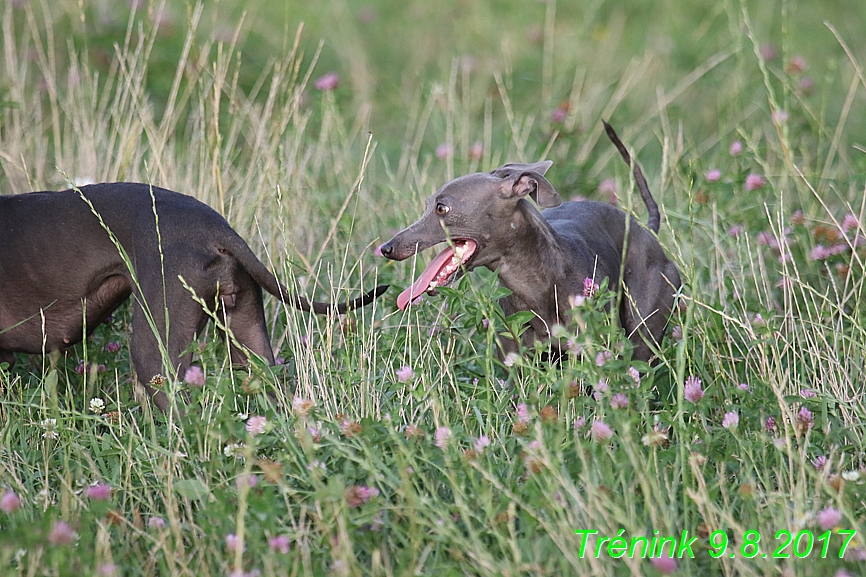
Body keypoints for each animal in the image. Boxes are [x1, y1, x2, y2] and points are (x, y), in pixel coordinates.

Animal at [382, 122, 680, 360]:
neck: (538, 285)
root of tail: (647, 230)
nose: (387, 248)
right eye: (427, 205)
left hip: (644, 329)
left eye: (442, 208)